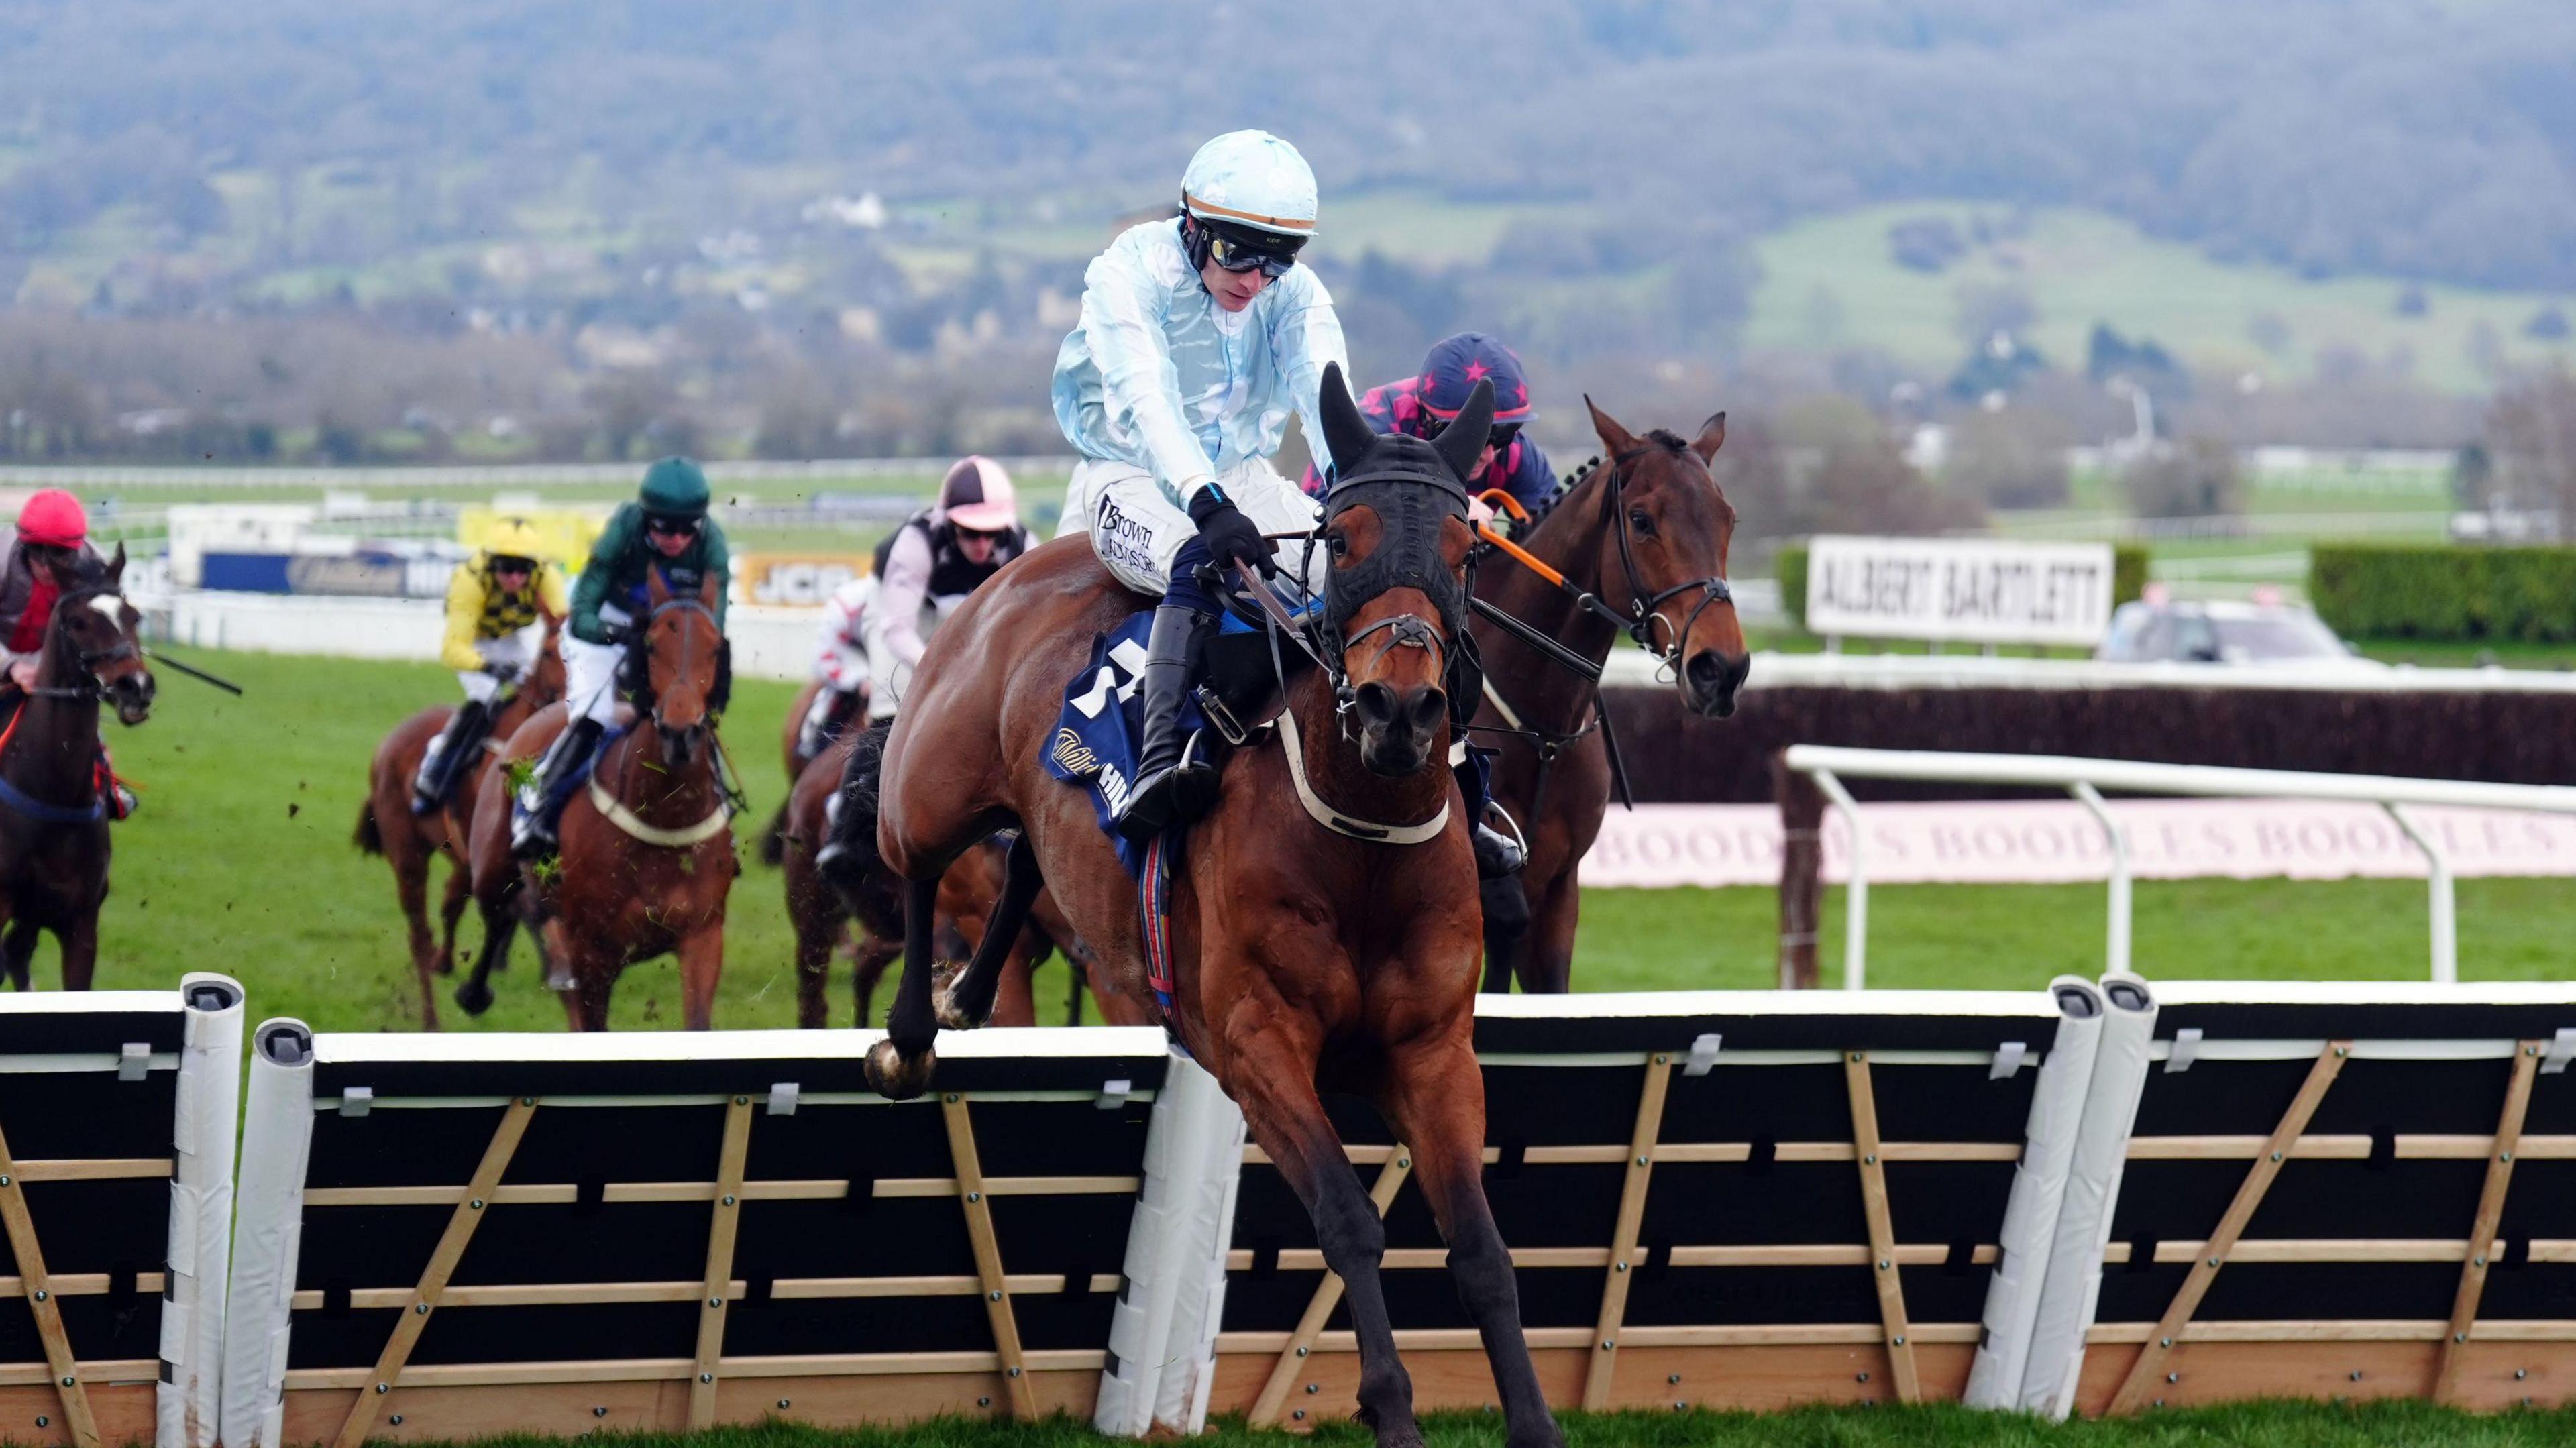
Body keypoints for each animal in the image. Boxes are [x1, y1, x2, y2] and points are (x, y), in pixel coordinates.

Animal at [0, 546, 154, 984]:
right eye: (77, 622)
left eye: (134, 616)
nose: (136, 687)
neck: (53, 790)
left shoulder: (80, 924)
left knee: (15, 953)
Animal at [466, 564, 737, 1025]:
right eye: (651, 644)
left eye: (715, 647)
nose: (680, 734)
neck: (662, 815)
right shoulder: (593, 950)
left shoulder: (703, 937)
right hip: (492, 865)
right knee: (499, 911)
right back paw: (474, 992)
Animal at [865, 363, 1556, 1443]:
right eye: (1342, 539)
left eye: (1465, 549)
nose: (1400, 709)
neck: (1361, 846)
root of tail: (1037, 560)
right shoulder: (1254, 1040)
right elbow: (1349, 1219)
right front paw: (1390, 1408)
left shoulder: (1434, 1051)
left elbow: (1482, 1249)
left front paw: (1533, 1420)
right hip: (931, 782)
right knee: (913, 860)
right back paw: (911, 1031)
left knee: (1026, 862)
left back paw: (967, 993)